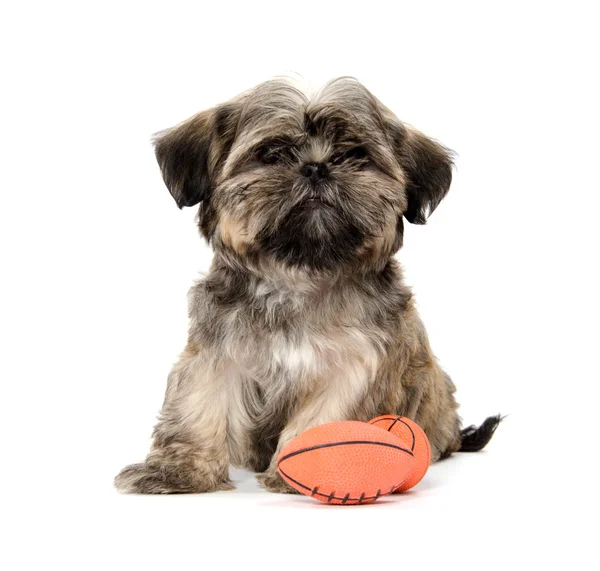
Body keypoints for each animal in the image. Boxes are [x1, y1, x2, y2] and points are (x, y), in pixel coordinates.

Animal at [115, 78, 500, 494]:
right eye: (272, 154)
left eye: (354, 155)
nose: (316, 167)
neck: (299, 277)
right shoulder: (217, 350)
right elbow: (199, 404)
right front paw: (178, 471)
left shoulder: (356, 362)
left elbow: (326, 411)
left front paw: (312, 468)